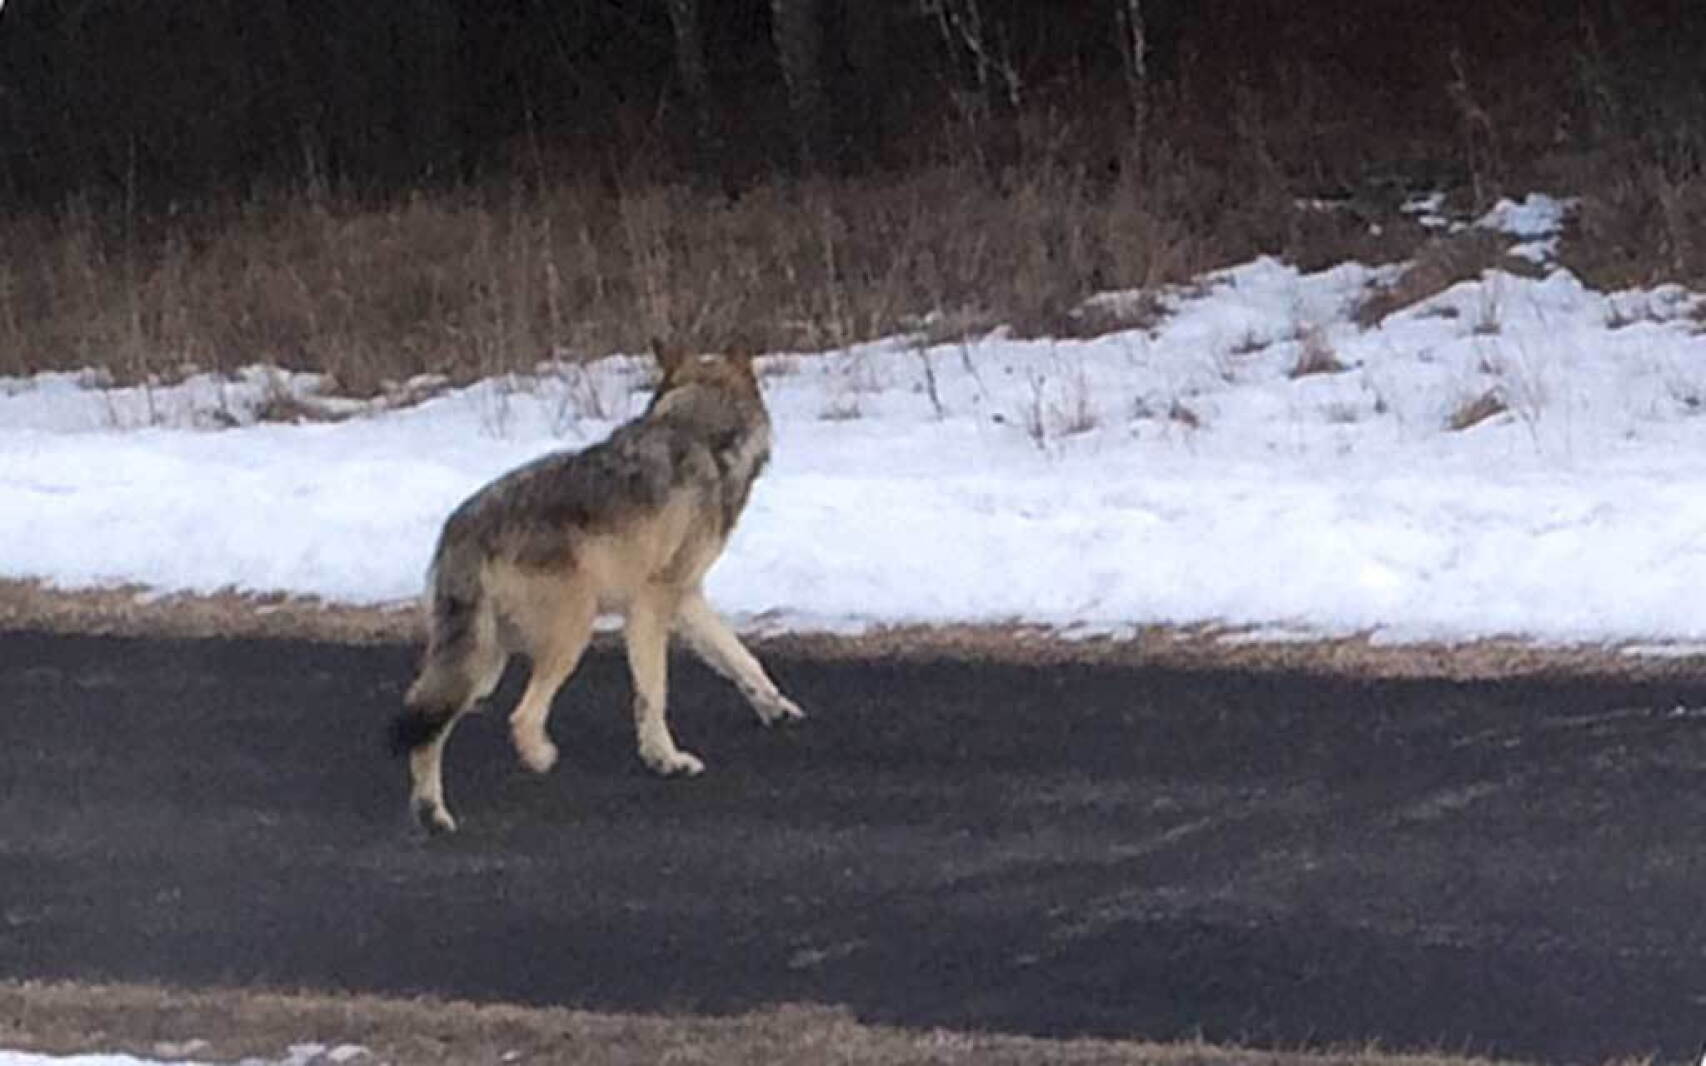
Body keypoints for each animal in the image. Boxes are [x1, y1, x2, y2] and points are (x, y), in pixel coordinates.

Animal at [391, 341, 804, 834]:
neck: (696, 427)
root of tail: (463, 529)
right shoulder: (652, 604)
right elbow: (653, 694)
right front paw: (666, 760)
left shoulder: (686, 598)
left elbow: (743, 659)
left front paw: (775, 706)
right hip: (569, 634)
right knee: (521, 717)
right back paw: (538, 758)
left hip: (481, 663)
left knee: (425, 726)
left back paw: (432, 814)